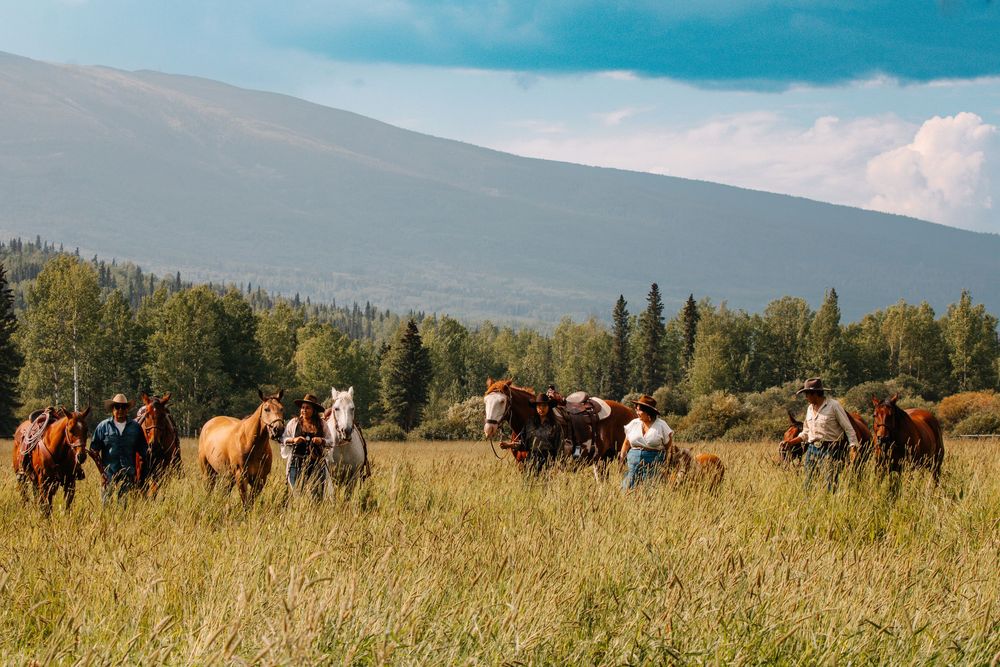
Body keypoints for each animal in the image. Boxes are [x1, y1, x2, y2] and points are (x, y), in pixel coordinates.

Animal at [483, 378, 635, 464]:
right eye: (485, 400)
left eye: (502, 401)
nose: (488, 429)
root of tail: (630, 412)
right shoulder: (523, 465)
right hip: (603, 460)